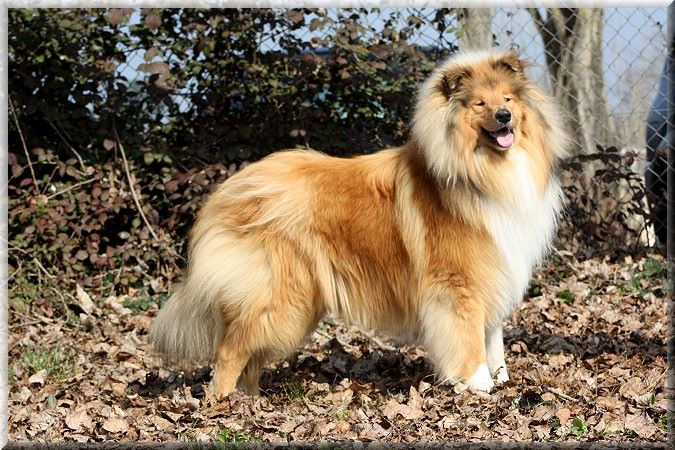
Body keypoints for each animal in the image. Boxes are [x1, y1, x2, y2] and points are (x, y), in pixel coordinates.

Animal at [149, 51, 572, 400]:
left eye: (508, 99)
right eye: (479, 103)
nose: (504, 117)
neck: (482, 170)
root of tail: (229, 189)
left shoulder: (495, 268)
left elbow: (492, 334)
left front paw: (500, 379)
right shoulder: (458, 284)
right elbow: (468, 337)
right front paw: (478, 384)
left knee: (249, 354)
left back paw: (250, 400)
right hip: (278, 295)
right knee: (228, 350)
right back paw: (222, 405)